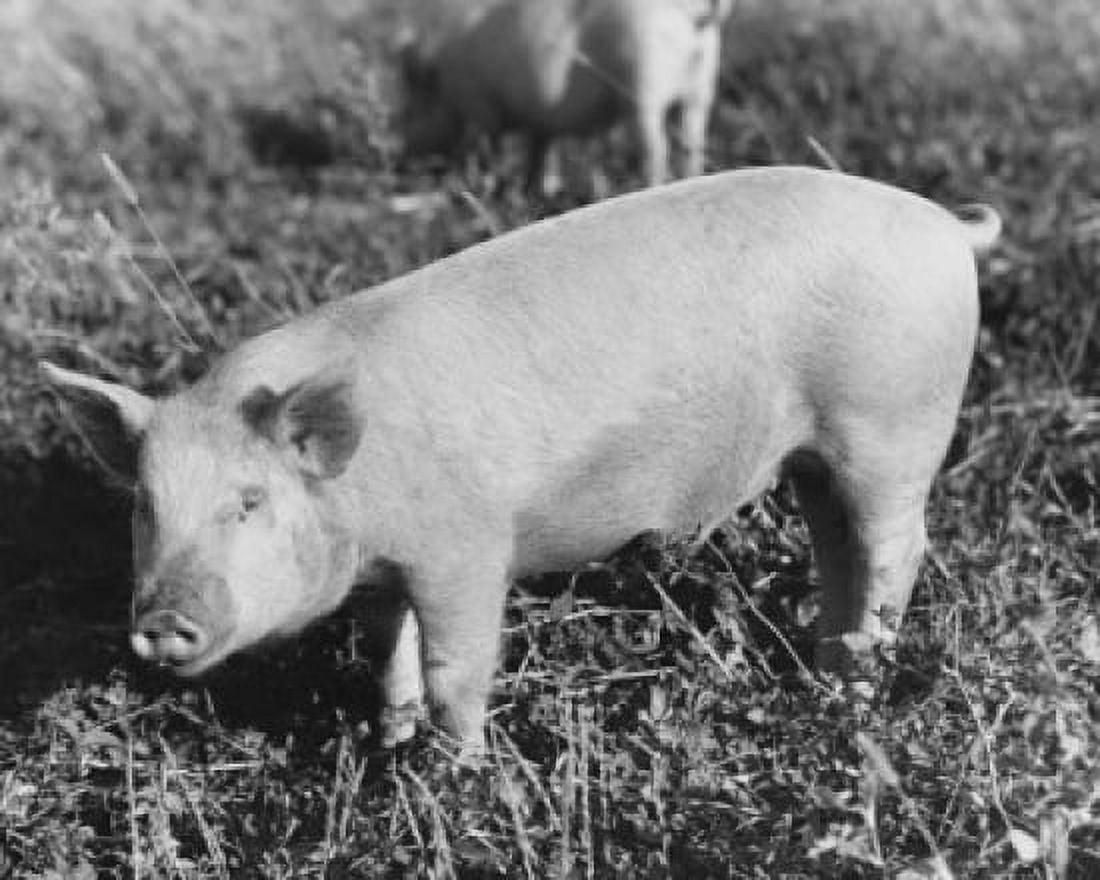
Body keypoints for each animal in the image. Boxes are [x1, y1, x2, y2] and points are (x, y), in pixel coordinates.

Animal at [44, 166, 1001, 750]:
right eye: (144, 506)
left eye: (249, 501)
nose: (162, 620)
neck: (361, 490)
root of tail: (943, 225)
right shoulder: (387, 574)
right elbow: (388, 655)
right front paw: (388, 745)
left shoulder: (466, 550)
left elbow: (454, 669)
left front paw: (456, 774)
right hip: (817, 460)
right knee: (840, 552)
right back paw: (829, 679)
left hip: (894, 426)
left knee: (896, 551)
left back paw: (859, 694)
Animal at [397, 0, 731, 191]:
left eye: (410, 112)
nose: (403, 158)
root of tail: (694, 15)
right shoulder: (539, 121)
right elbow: (539, 152)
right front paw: (535, 191)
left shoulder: (480, 106)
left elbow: (492, 150)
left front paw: (493, 186)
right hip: (700, 89)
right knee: (692, 146)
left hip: (642, 88)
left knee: (656, 150)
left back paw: (645, 187)